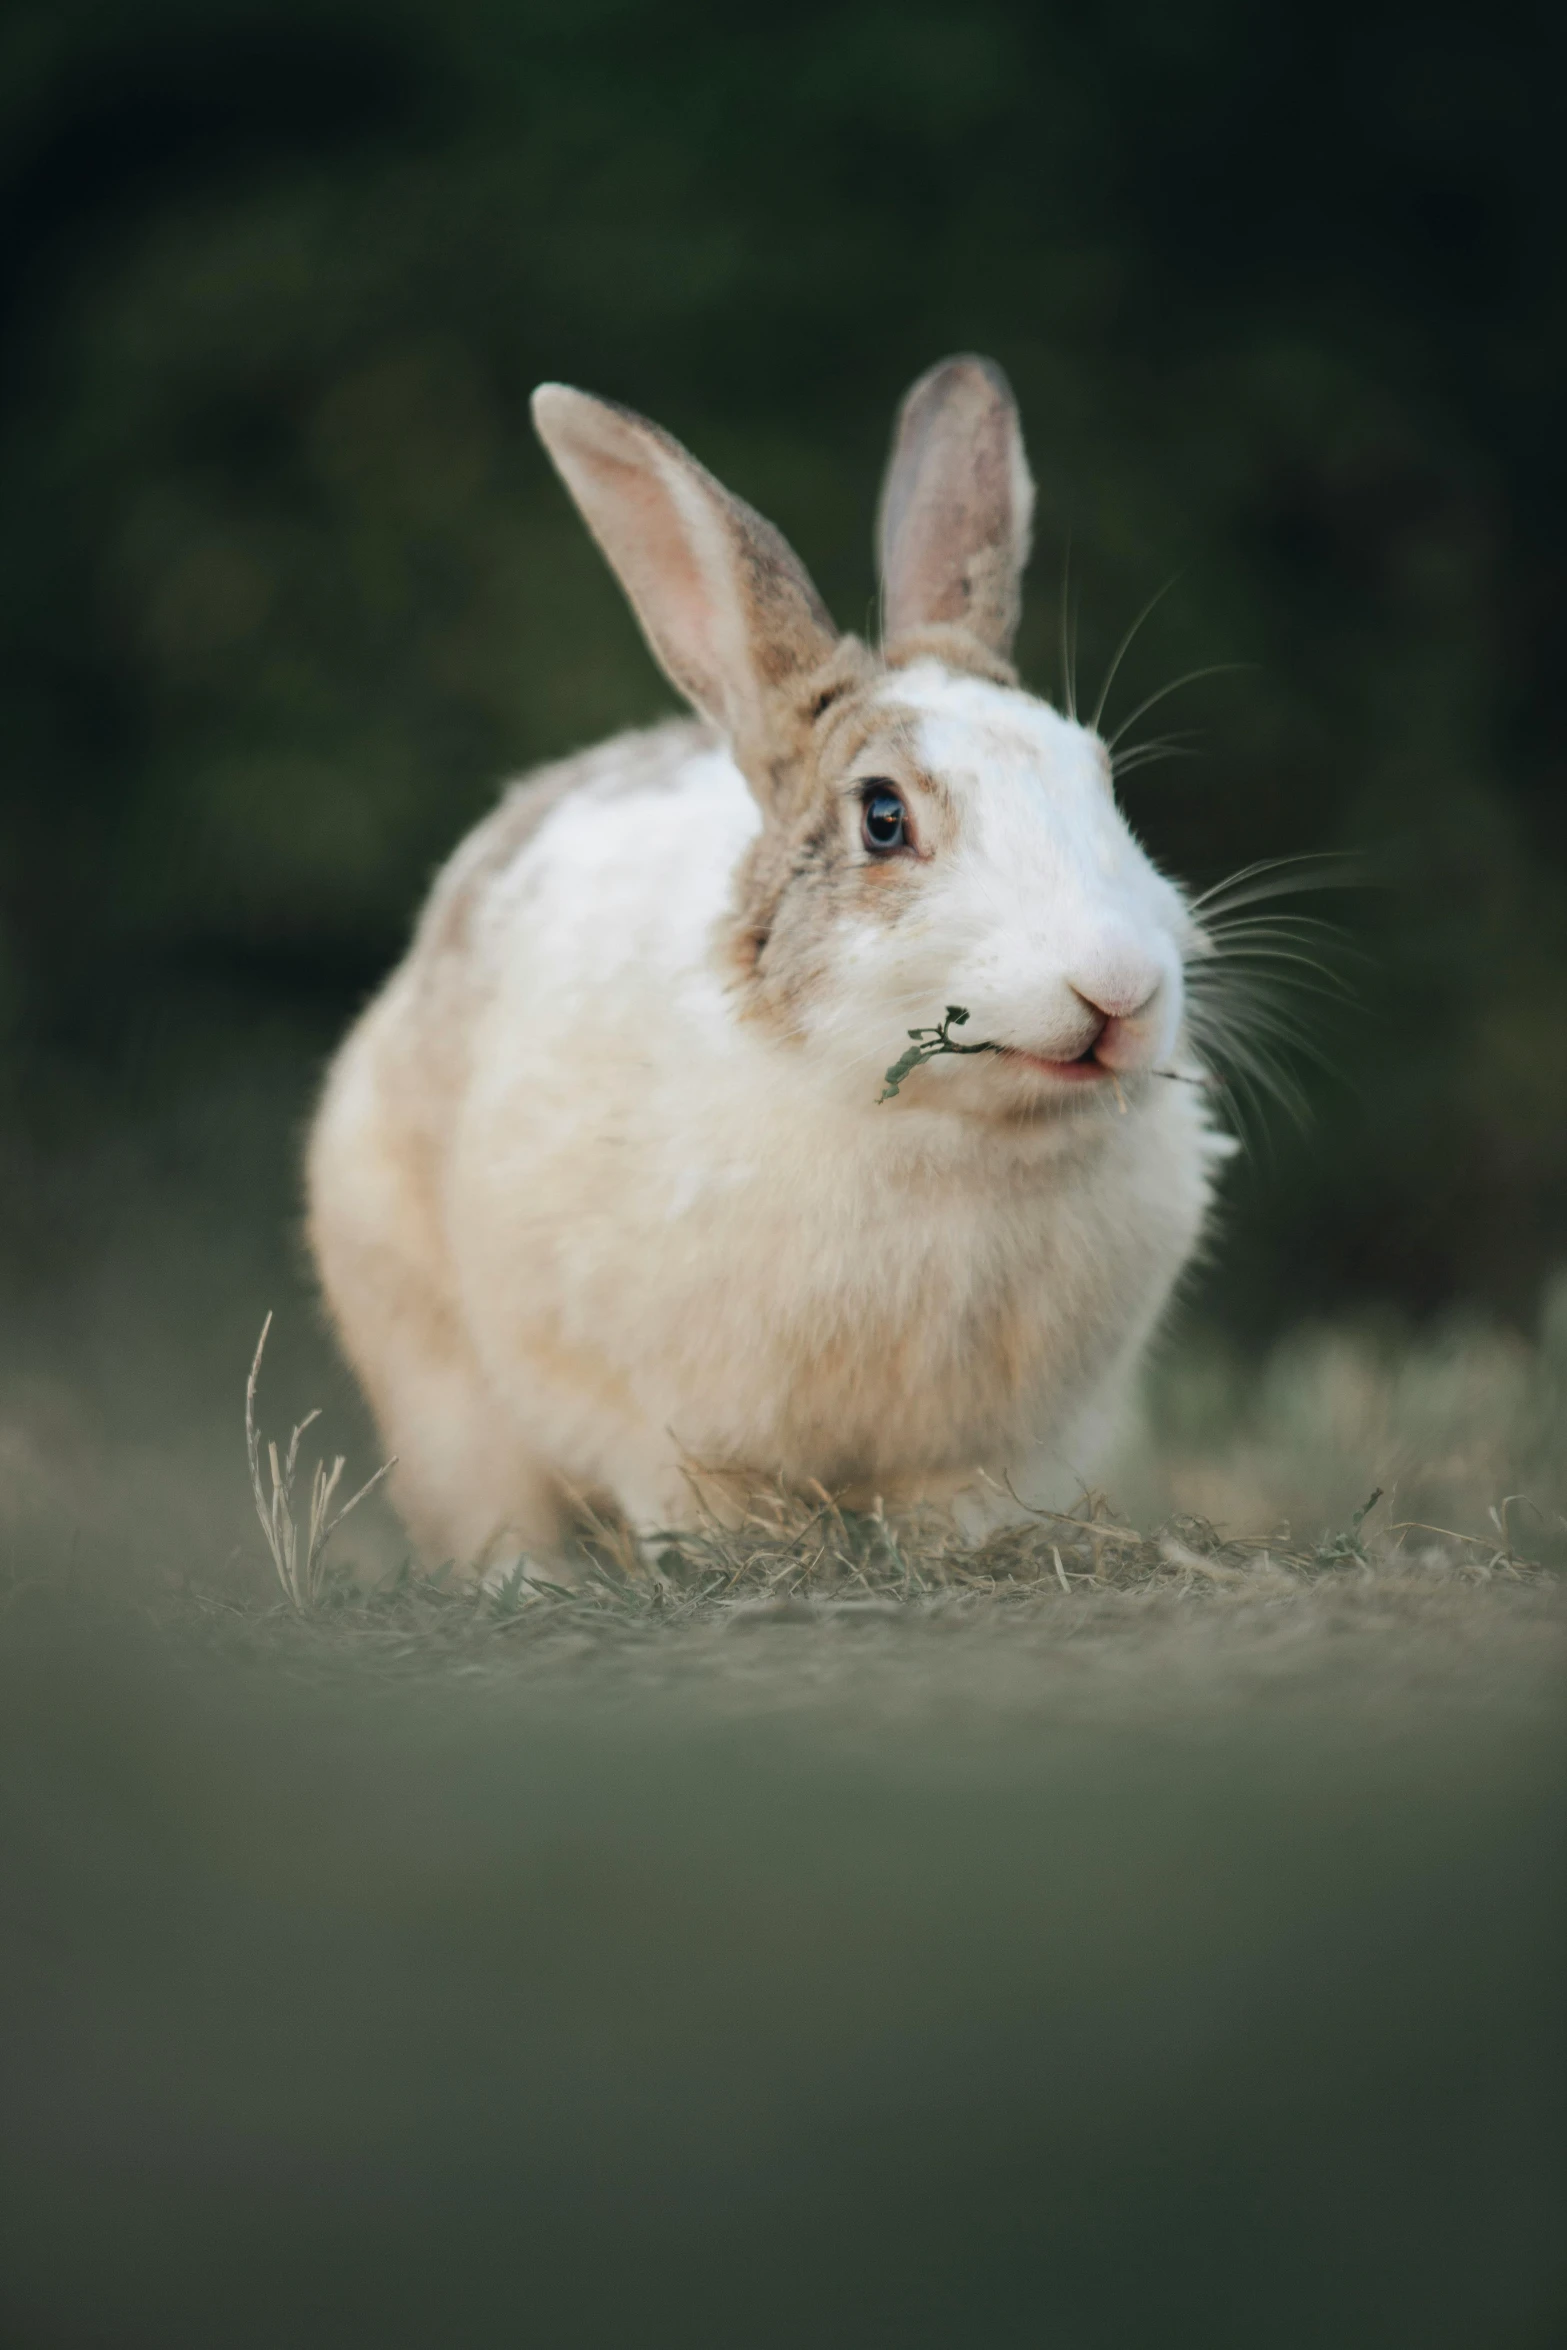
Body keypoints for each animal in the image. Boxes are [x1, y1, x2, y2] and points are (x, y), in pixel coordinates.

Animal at [305, 357, 1231, 1569]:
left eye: (1102, 781)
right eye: (882, 816)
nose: (1117, 988)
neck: (950, 1139)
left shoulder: (987, 1450)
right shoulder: (665, 1426)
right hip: (434, 1375)